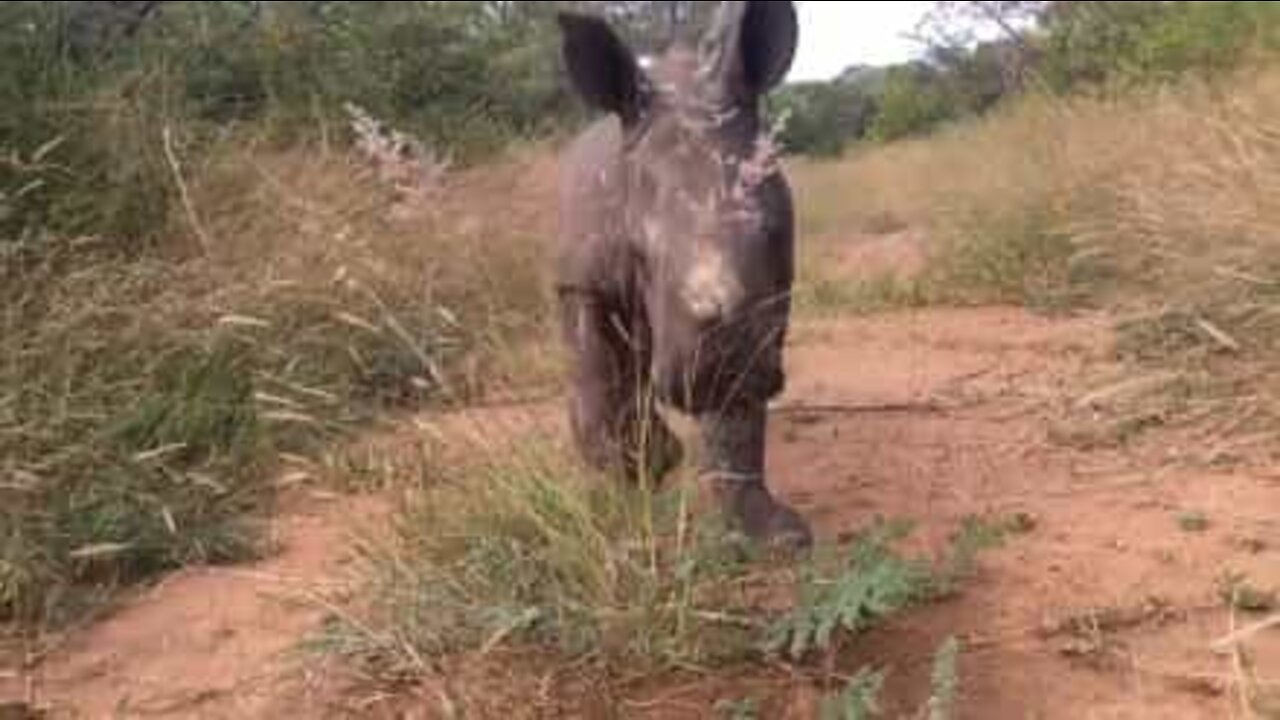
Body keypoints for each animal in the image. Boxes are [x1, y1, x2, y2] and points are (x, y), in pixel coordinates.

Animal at [550, 1, 808, 548]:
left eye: (774, 234)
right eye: (642, 254)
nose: (718, 363)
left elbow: (740, 416)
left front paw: (772, 534)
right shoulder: (581, 279)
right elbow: (595, 370)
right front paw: (632, 478)